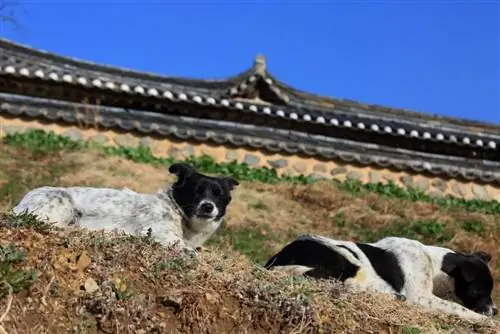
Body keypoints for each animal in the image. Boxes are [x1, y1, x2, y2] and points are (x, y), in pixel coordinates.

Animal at [11, 163, 238, 258]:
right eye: (196, 192)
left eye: (218, 195)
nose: (208, 206)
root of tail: (20, 204)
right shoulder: (159, 232)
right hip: (63, 202)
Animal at [264, 234, 498, 322]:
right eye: (478, 291)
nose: (495, 311)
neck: (434, 264)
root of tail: (276, 260)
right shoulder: (420, 297)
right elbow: (459, 308)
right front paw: (484, 321)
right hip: (347, 259)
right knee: (335, 281)